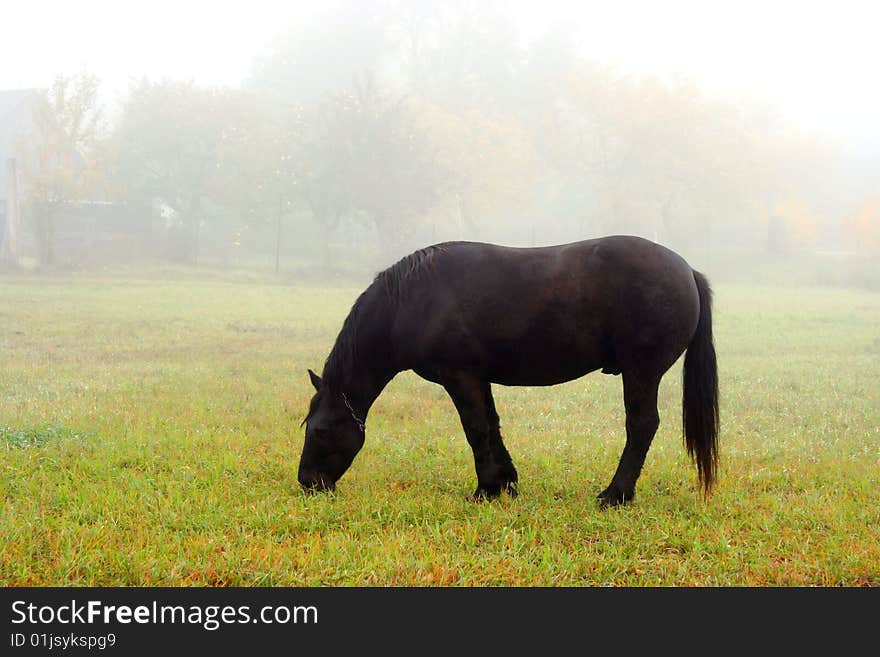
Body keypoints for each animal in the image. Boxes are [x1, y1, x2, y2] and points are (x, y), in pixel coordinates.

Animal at [300, 236, 720, 508]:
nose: (308, 483)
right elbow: (491, 425)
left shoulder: (459, 376)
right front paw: (505, 483)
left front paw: (485, 490)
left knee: (642, 426)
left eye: (319, 431)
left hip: (640, 372)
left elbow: (475, 429)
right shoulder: (477, 377)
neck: (414, 300)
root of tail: (687, 269)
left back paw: (615, 495)